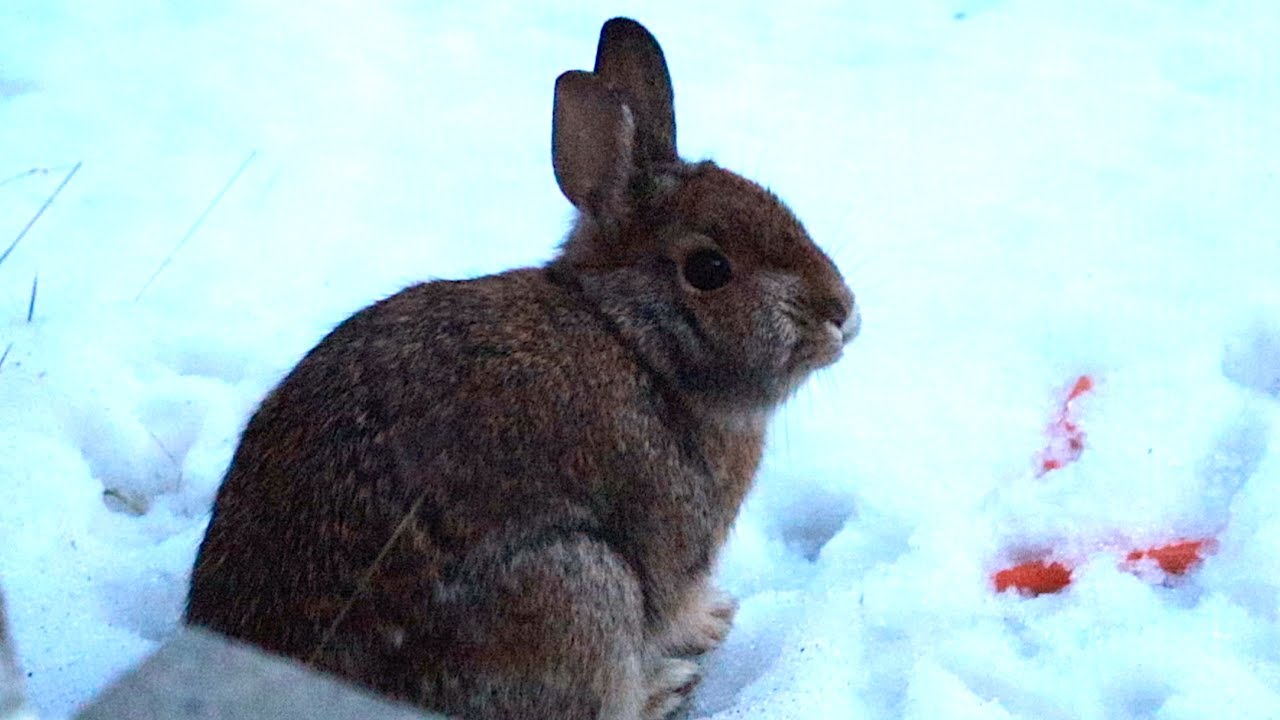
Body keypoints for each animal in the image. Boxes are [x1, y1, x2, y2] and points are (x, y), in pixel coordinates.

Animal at [186, 16, 858, 720]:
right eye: (708, 269)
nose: (842, 314)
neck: (635, 340)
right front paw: (709, 623)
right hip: (579, 585)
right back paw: (663, 688)